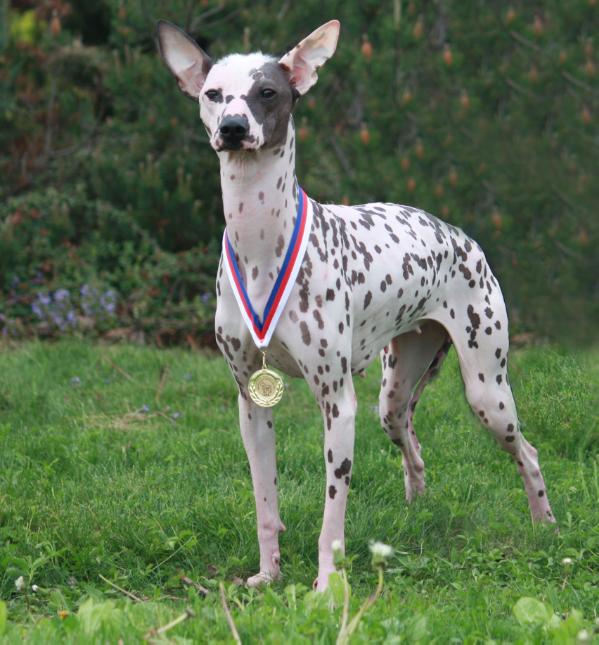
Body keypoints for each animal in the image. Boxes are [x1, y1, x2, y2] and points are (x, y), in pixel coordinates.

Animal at [156, 17, 556, 592]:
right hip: (391, 398)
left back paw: (545, 523)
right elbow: (264, 501)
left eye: (267, 93)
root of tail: (459, 236)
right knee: (412, 444)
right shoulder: (251, 405)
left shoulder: (336, 406)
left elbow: (332, 518)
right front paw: (269, 573)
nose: (232, 127)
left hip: (488, 395)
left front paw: (327, 586)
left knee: (528, 452)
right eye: (213, 94)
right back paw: (417, 508)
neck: (261, 247)